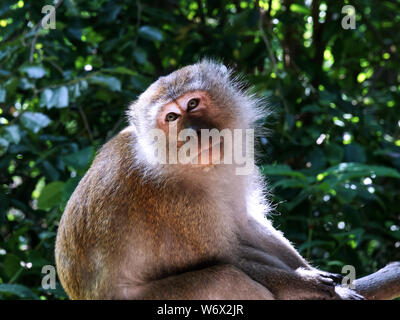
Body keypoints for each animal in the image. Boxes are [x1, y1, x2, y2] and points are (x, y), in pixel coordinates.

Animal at [54, 59, 364, 300]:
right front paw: (304, 283)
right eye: (171, 117)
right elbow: (225, 258)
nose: (193, 132)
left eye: (193, 103)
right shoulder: (175, 203)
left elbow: (245, 225)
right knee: (226, 277)